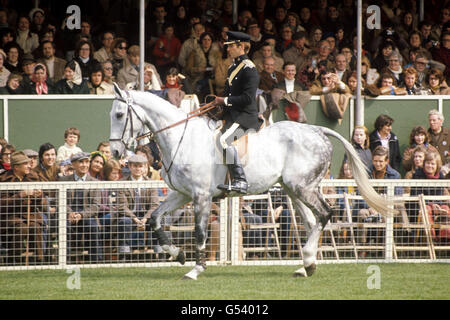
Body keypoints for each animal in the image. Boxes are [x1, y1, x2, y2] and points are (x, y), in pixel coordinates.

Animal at [110, 85, 394, 280]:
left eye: (120, 114)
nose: (114, 152)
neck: (182, 138)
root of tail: (316, 130)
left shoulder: (200, 196)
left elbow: (200, 233)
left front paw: (195, 269)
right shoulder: (182, 194)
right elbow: (154, 219)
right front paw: (177, 254)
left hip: (302, 187)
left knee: (325, 214)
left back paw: (308, 260)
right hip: (294, 190)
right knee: (311, 221)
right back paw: (306, 266)